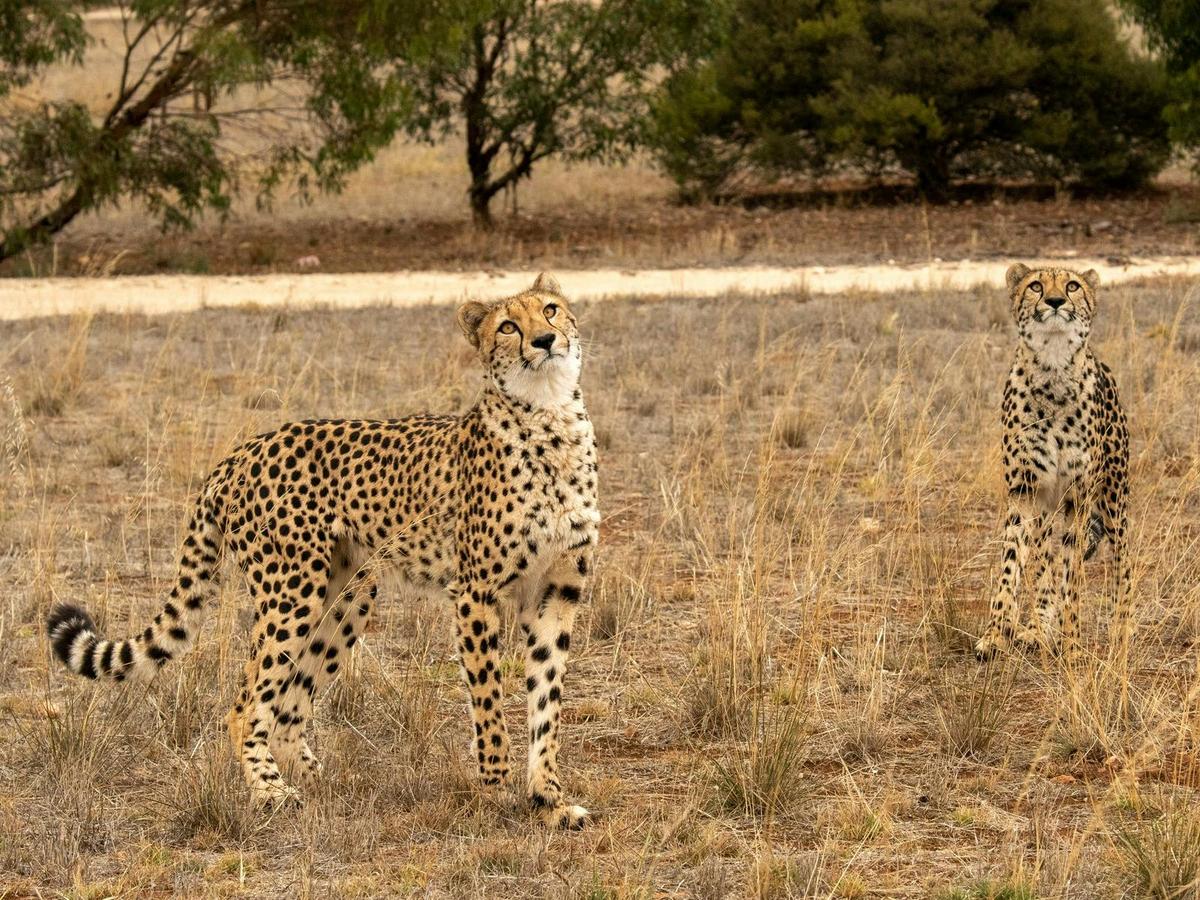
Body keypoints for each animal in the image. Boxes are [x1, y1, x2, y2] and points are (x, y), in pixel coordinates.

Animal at [46, 273, 599, 828]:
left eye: (550, 310)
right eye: (507, 326)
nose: (544, 341)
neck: (549, 414)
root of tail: (244, 447)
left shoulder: (556, 592)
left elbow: (546, 701)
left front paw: (549, 799)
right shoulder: (475, 592)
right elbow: (488, 699)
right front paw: (494, 789)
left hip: (346, 596)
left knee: (289, 707)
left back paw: (326, 784)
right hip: (292, 591)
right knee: (246, 705)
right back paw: (270, 791)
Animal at [975, 263, 1132, 661]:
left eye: (1072, 285)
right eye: (1035, 286)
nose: (1056, 300)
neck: (1053, 372)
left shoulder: (1080, 494)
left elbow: (1072, 573)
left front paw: (1072, 644)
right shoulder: (1024, 490)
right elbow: (1012, 564)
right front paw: (997, 634)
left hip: (1113, 499)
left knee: (1122, 561)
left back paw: (1122, 626)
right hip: (1047, 505)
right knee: (1044, 560)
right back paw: (1038, 628)